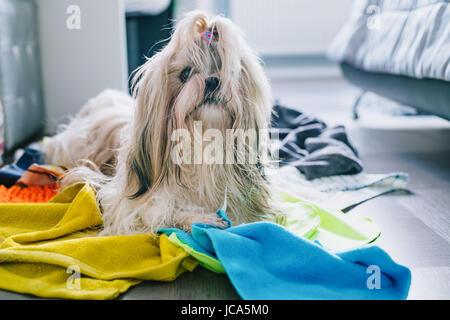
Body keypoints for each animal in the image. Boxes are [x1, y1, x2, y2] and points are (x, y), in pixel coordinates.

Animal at [43, 11, 274, 235]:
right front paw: (201, 219)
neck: (202, 144)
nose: (212, 80)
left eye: (228, 72)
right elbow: (161, 213)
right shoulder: (126, 206)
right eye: (186, 73)